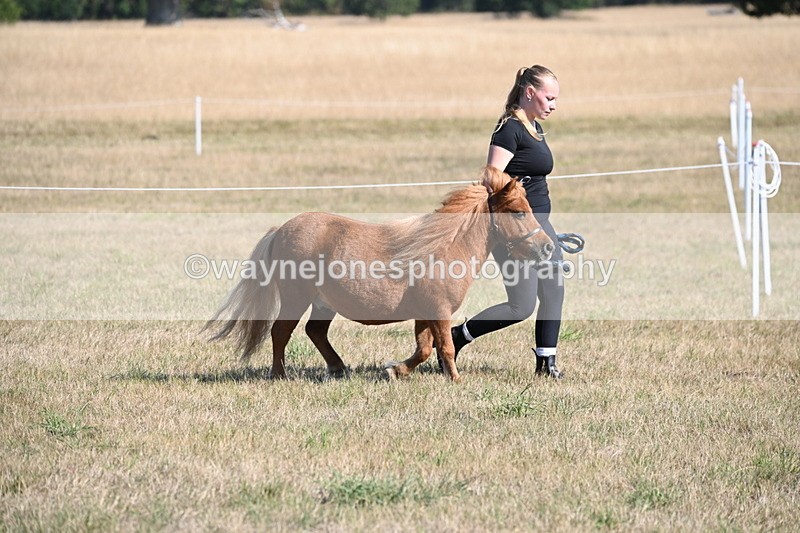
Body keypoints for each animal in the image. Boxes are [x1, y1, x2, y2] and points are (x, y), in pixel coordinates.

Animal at [206, 166, 554, 382]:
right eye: (518, 212)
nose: (548, 247)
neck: (444, 248)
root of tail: (281, 230)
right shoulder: (439, 311)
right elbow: (445, 346)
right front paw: (455, 378)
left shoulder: (424, 314)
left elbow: (423, 349)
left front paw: (396, 370)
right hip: (296, 297)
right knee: (281, 332)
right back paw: (280, 374)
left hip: (322, 303)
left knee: (314, 331)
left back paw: (338, 368)